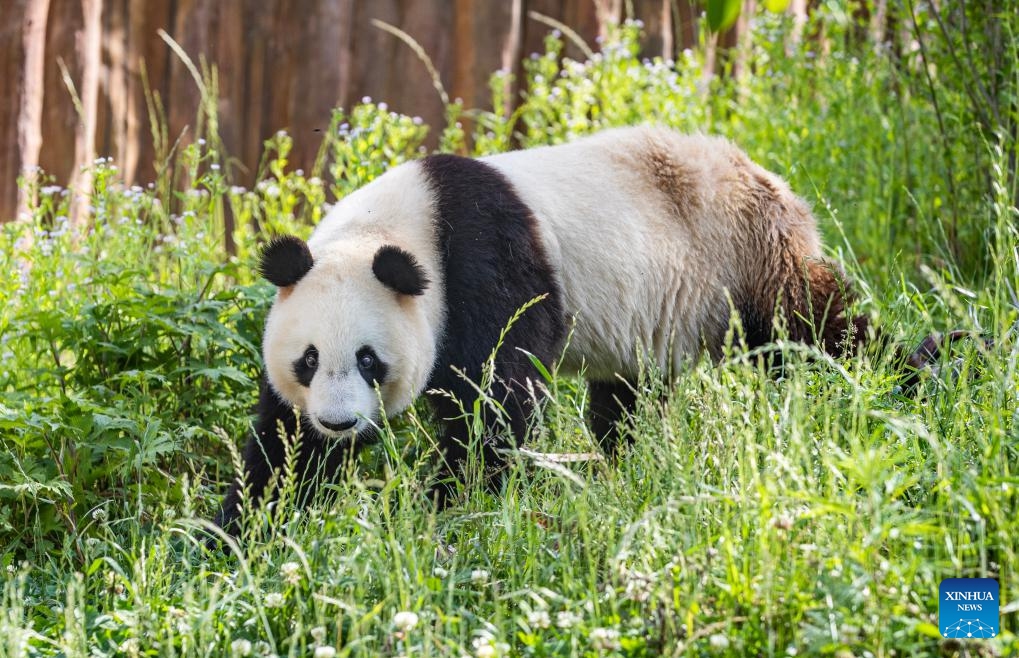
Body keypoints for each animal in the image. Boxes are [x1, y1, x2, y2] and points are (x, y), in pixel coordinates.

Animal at [214, 125, 872, 532]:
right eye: (307, 360)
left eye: (369, 359)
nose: (338, 424)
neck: (403, 223)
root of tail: (764, 174)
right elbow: (283, 449)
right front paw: (240, 533)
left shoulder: (486, 261)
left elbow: (495, 399)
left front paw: (446, 506)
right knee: (628, 400)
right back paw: (624, 466)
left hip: (742, 253)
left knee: (810, 329)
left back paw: (884, 383)